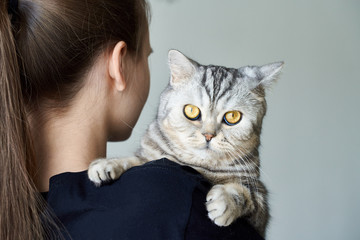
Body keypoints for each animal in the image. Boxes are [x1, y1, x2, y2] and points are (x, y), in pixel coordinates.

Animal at [88, 49, 284, 237]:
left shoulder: (259, 199)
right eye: (191, 111)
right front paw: (107, 164)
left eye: (232, 116)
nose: (208, 135)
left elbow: (248, 195)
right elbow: (136, 159)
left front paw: (225, 201)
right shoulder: (151, 155)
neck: (196, 164)